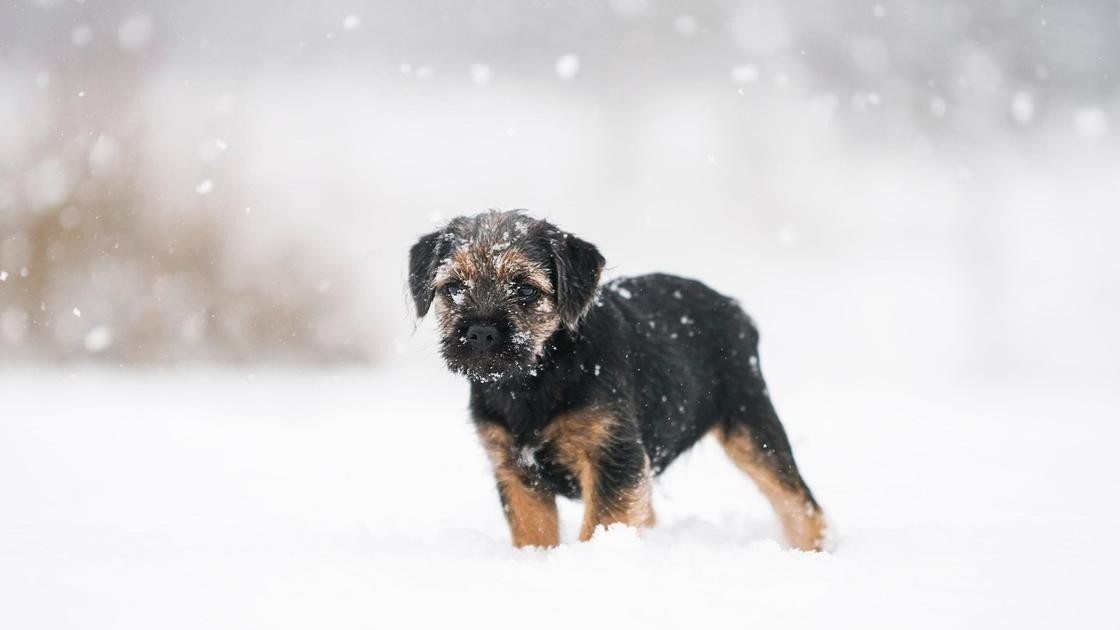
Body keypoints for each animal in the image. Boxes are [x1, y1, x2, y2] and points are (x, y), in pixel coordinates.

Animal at [412, 208, 833, 547]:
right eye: (452, 288)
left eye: (526, 289)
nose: (480, 332)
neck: (534, 378)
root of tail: (735, 308)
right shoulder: (516, 470)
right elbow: (534, 531)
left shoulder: (614, 456)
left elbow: (603, 521)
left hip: (750, 421)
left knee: (798, 503)